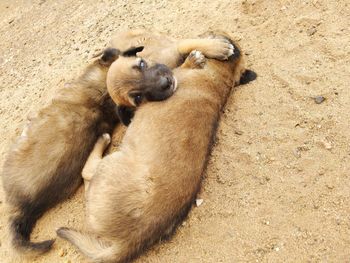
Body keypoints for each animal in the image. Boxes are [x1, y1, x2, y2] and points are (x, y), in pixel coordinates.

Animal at [56, 33, 246, 263]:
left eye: (142, 65)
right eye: (137, 97)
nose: (166, 82)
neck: (218, 81)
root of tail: (129, 242)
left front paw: (211, 49)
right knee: (86, 174)